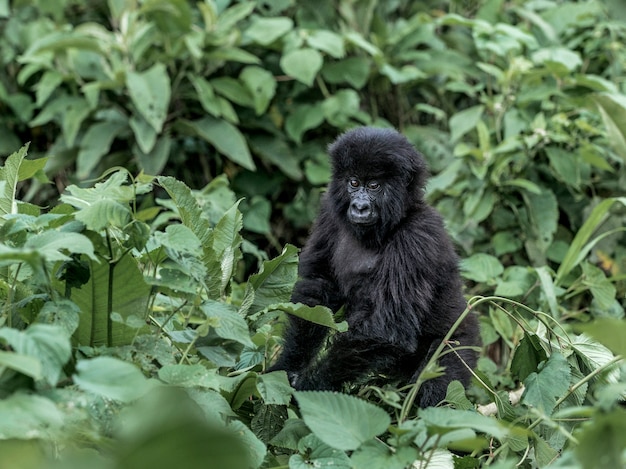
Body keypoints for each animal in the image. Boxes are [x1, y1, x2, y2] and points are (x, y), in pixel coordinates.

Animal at [268, 127, 478, 406]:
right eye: (354, 183)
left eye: (374, 186)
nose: (359, 206)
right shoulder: (328, 210)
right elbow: (316, 292)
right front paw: (286, 367)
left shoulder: (418, 236)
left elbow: (386, 329)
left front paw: (308, 387)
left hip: (460, 343)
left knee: (440, 391)